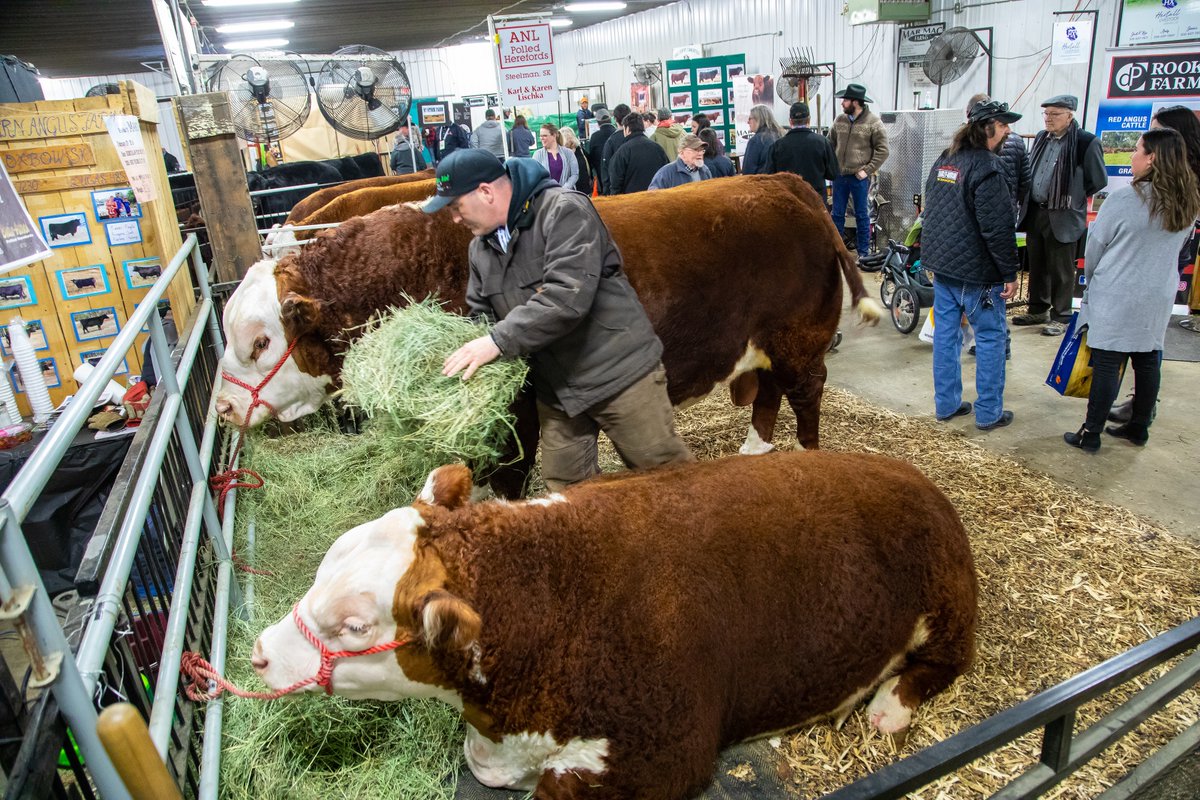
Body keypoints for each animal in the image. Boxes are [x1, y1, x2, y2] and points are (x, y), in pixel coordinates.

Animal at [250, 453, 974, 796]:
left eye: (352, 625)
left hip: (947, 603)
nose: (257, 653)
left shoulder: (661, 751)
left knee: (948, 660)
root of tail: (906, 472)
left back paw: (887, 708)